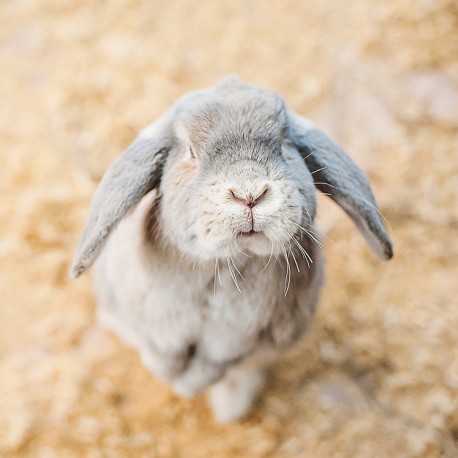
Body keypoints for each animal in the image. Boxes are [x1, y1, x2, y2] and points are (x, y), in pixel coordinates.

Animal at [70, 77, 392, 424]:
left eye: (284, 146)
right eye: (191, 153)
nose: (250, 195)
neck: (221, 267)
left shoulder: (235, 340)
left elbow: (214, 364)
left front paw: (188, 387)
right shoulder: (158, 326)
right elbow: (163, 355)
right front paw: (172, 379)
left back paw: (231, 408)